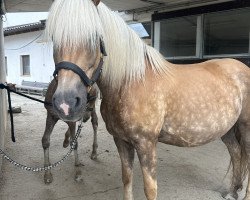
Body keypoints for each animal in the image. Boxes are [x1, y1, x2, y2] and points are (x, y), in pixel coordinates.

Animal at [45, 0, 250, 199]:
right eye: (55, 38)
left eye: (95, 37)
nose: (65, 103)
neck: (131, 82)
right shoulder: (121, 141)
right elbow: (127, 180)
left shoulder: (146, 144)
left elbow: (150, 189)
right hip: (227, 129)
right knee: (236, 152)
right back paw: (232, 191)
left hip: (245, 128)